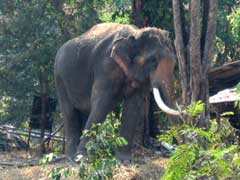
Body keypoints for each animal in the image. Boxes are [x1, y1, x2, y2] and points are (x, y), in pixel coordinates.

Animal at [53, 22, 179, 159]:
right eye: (153, 61)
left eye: (174, 63)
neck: (136, 34)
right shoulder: (106, 66)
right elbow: (100, 103)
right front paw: (82, 157)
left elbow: (133, 106)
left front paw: (125, 159)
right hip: (60, 79)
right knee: (69, 112)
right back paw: (72, 157)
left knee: (84, 111)